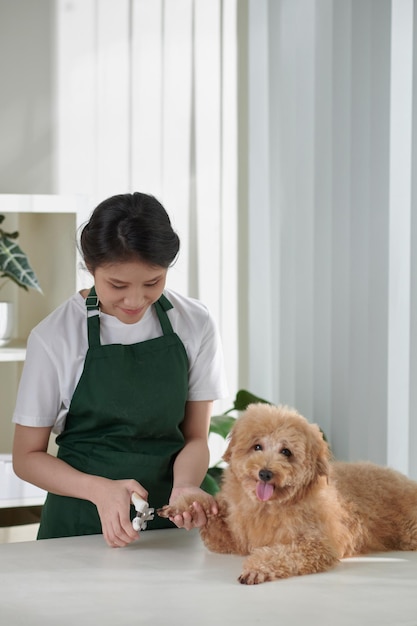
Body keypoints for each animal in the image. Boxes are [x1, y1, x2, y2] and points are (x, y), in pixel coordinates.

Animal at [158, 402, 416, 584]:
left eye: (286, 452)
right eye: (257, 446)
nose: (265, 473)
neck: (268, 506)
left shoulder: (317, 545)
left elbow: (282, 554)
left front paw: (257, 569)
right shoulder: (234, 540)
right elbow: (211, 516)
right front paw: (185, 506)